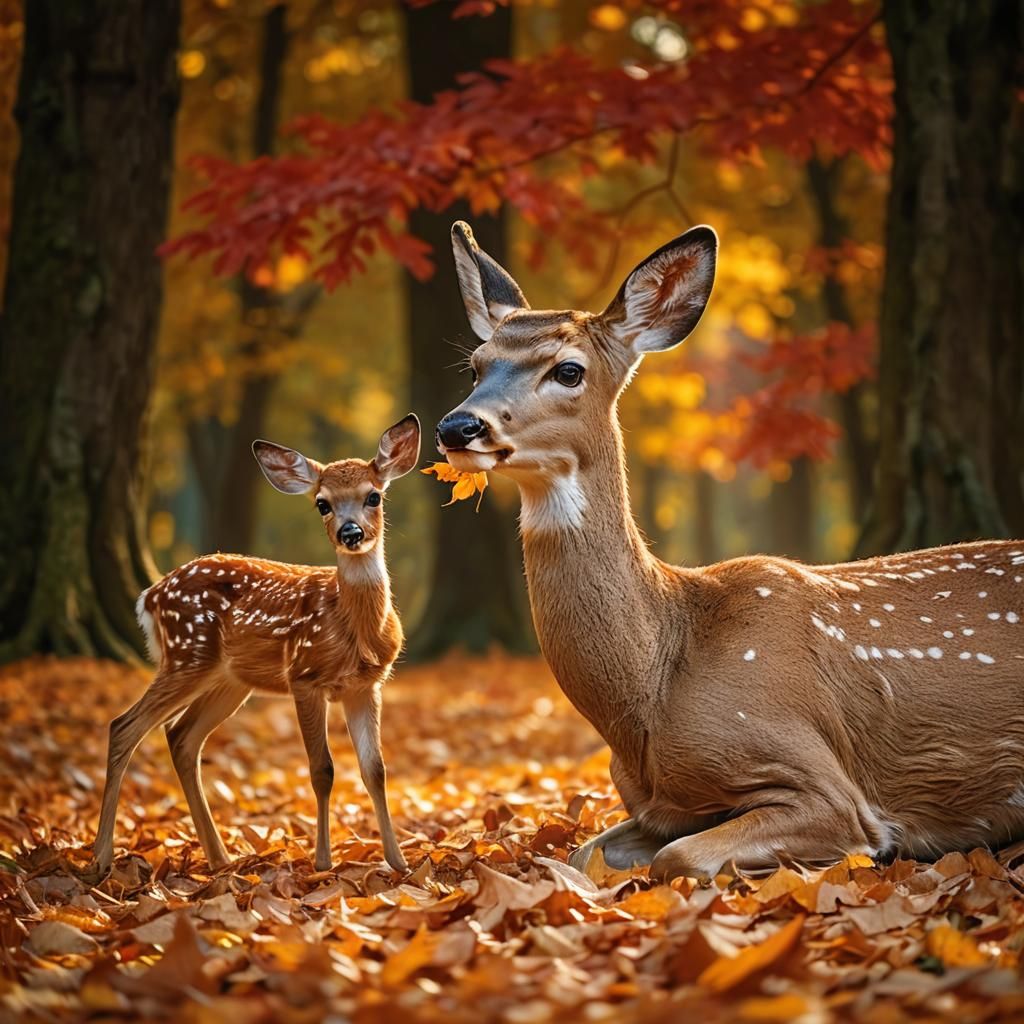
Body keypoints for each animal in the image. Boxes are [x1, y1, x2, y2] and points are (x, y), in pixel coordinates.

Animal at [89, 415, 420, 879]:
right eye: (322, 504)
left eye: (374, 496)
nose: (350, 532)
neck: (351, 625)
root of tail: (149, 596)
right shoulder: (304, 676)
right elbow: (322, 769)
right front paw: (322, 862)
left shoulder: (364, 686)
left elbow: (376, 770)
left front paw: (399, 861)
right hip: (187, 654)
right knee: (124, 726)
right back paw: (101, 857)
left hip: (230, 680)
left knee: (180, 737)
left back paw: (220, 858)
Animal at [436, 221, 1024, 882]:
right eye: (476, 365)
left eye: (567, 370)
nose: (458, 427)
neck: (650, 695)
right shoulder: (661, 804)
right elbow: (584, 853)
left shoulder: (816, 777)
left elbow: (679, 858)